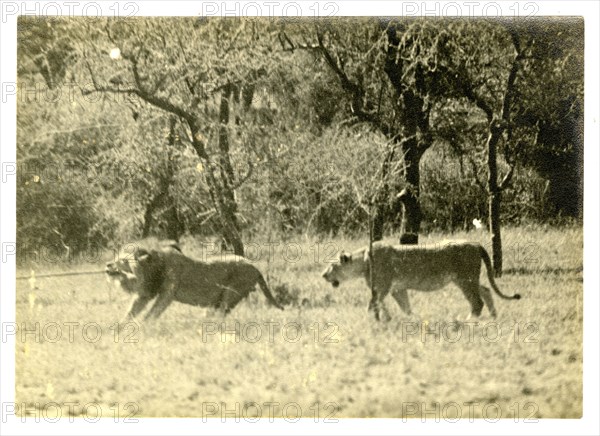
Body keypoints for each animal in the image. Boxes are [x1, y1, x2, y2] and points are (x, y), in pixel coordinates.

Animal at [106, 240, 284, 322]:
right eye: (116, 258)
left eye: (123, 261)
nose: (108, 264)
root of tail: (255, 267)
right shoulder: (145, 293)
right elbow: (131, 311)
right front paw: (119, 329)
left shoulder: (167, 294)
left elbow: (152, 313)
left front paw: (144, 327)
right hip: (218, 301)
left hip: (231, 293)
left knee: (220, 315)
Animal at [324, 242, 520, 320]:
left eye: (332, 266)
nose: (323, 275)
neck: (363, 260)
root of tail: (475, 244)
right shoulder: (396, 288)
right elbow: (403, 306)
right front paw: (408, 319)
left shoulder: (383, 286)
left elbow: (373, 303)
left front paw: (371, 320)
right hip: (466, 279)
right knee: (486, 290)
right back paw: (493, 317)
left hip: (465, 279)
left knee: (477, 302)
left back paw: (469, 321)